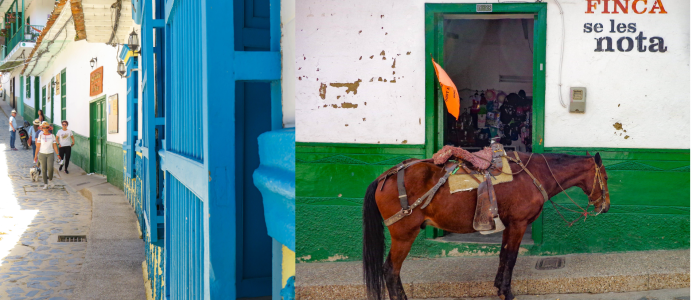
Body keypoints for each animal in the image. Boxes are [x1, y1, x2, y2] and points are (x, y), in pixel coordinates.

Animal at [364, 152, 608, 300]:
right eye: (605, 177)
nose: (605, 206)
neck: (534, 175)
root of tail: (386, 176)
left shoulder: (508, 225)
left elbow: (503, 256)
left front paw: (499, 287)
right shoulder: (518, 224)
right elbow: (511, 257)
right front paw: (507, 292)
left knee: (392, 270)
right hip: (404, 235)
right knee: (391, 270)